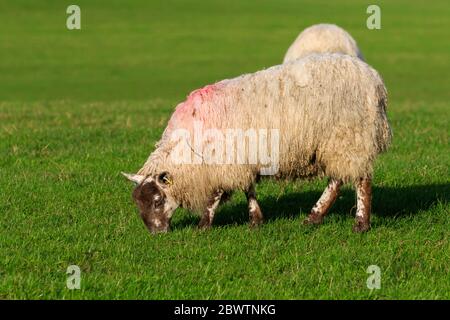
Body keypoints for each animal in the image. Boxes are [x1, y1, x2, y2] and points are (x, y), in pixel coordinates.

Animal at [122, 53, 390, 234]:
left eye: (157, 201)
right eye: (138, 202)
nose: (156, 233)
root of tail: (375, 81)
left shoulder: (224, 160)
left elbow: (216, 196)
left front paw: (203, 224)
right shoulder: (240, 160)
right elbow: (248, 189)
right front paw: (256, 219)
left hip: (350, 138)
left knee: (361, 181)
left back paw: (360, 223)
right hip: (337, 144)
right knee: (336, 181)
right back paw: (313, 217)